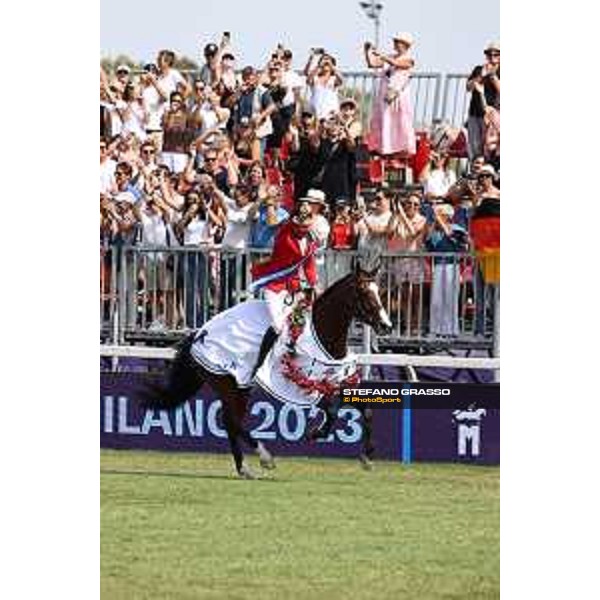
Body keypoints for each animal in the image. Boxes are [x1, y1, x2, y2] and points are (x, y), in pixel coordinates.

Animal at [141, 253, 394, 478]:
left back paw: (244, 468)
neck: (324, 336)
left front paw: (367, 456)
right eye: (363, 292)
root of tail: (199, 334)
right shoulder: (303, 385)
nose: (386, 325)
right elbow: (331, 410)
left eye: (379, 291)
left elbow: (366, 410)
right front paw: (316, 433)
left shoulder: (336, 381)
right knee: (232, 421)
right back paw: (264, 457)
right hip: (229, 384)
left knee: (231, 422)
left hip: (238, 389)